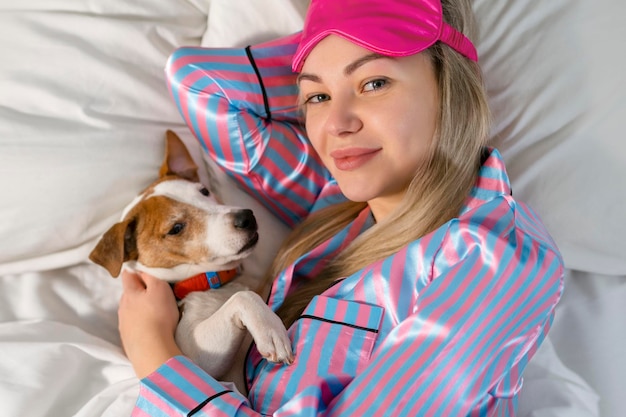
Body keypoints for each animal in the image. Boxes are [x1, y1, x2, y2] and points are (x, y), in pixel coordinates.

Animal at [89, 131, 292, 394]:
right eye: (176, 228)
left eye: (204, 191)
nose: (246, 217)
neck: (212, 282)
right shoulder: (197, 355)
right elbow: (244, 297)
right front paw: (271, 330)